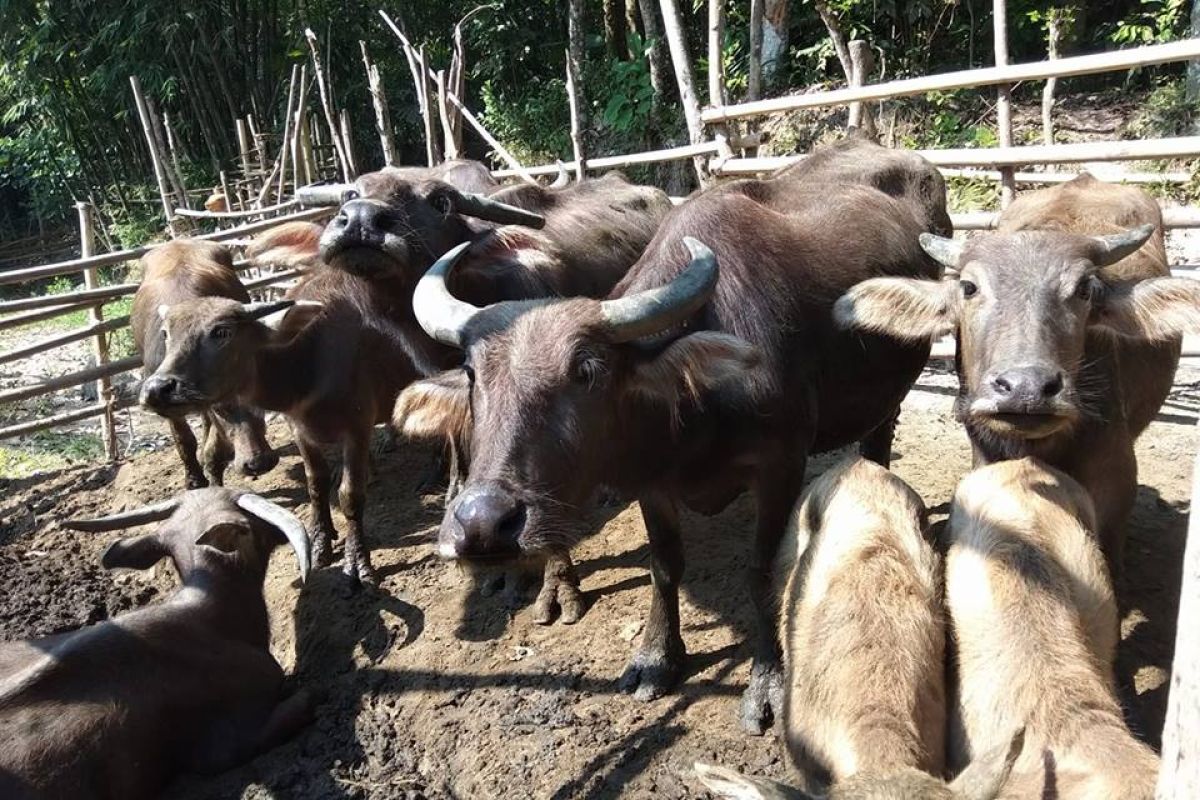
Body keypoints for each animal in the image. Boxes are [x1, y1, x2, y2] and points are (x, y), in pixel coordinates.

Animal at [400, 139, 945, 734]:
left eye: (587, 370)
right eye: (473, 373)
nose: (483, 524)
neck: (698, 403)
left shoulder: (782, 465)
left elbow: (760, 571)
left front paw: (768, 682)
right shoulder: (652, 481)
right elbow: (664, 564)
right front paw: (656, 657)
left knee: (879, 440)